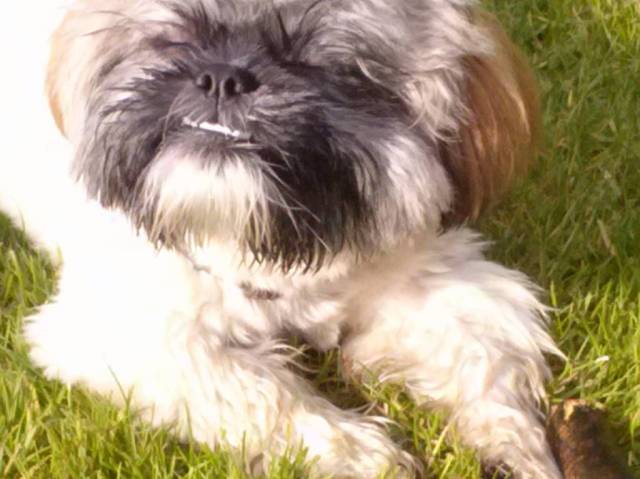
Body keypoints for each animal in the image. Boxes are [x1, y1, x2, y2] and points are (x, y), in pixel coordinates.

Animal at [0, 0, 564, 477]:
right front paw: (363, 456)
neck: (280, 248)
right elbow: (257, 391)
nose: (224, 77)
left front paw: (511, 449)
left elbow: (481, 360)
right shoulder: (128, 332)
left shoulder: (435, 275)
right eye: (181, 36)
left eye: (319, 63)